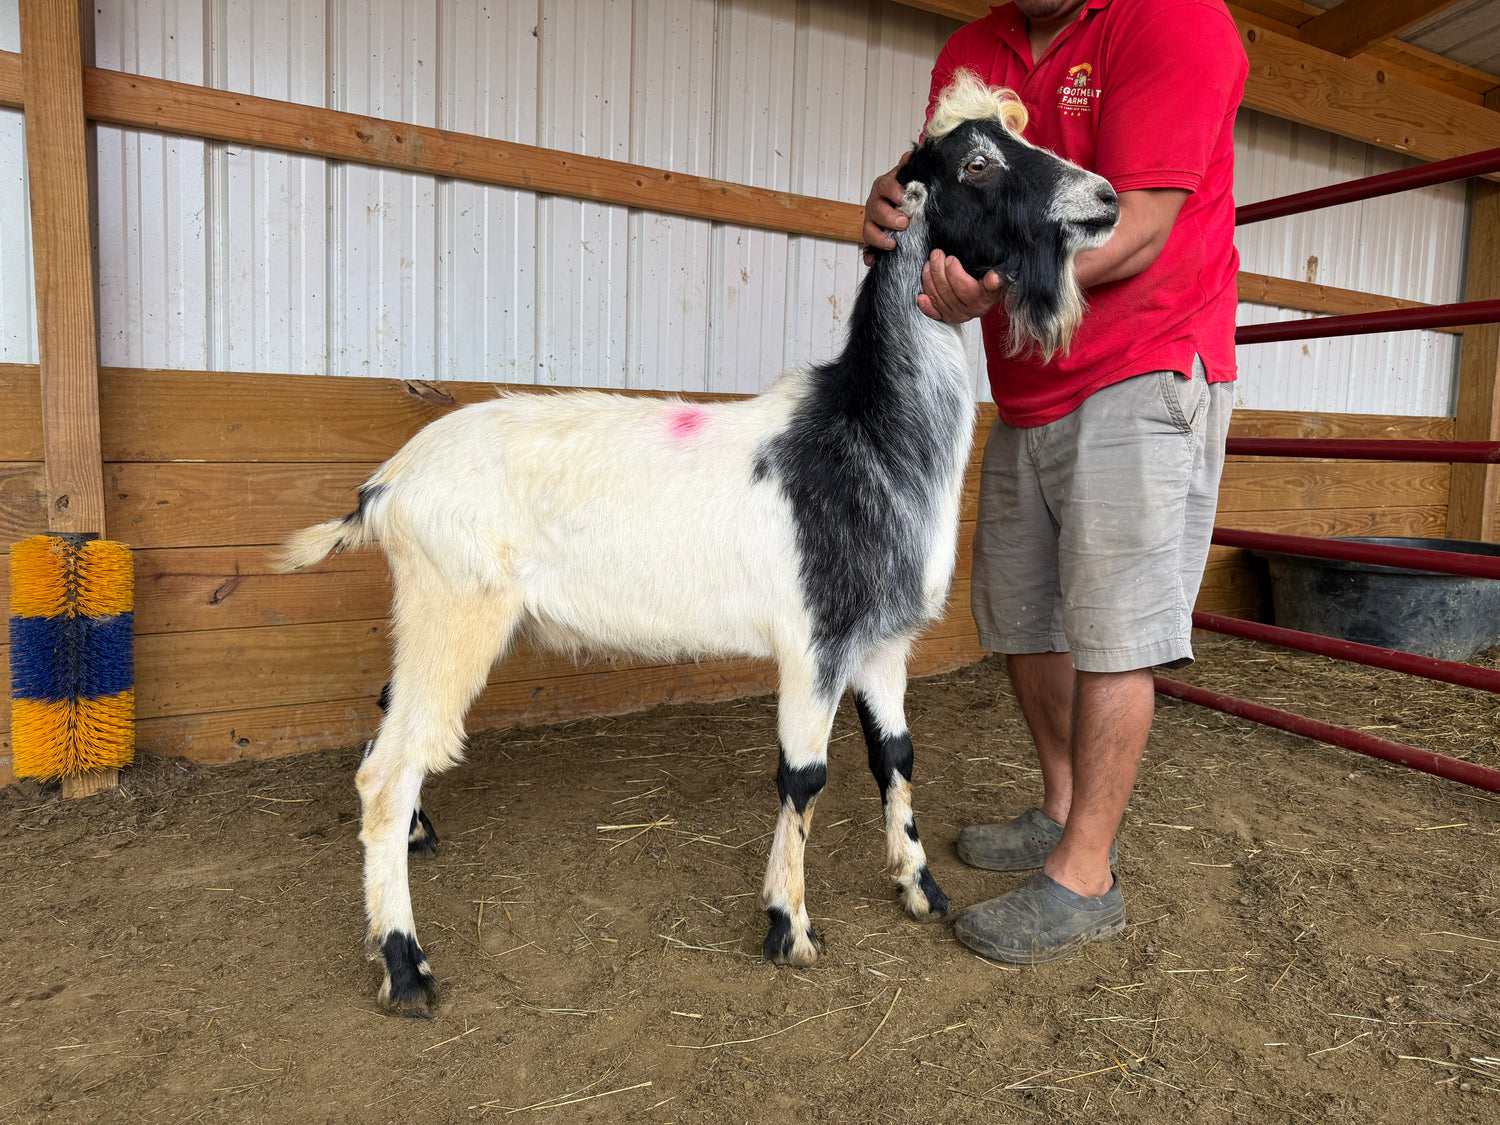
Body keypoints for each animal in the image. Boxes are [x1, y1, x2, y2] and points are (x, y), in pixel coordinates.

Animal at [274, 70, 1119, 1017]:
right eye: (976, 162)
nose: (1105, 198)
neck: (865, 433)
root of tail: (387, 487)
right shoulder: (815, 641)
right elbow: (804, 775)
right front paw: (789, 926)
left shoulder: (880, 640)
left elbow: (895, 756)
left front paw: (919, 885)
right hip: (455, 607)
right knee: (388, 770)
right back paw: (405, 963)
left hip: (427, 610)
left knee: (391, 726)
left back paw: (418, 841)